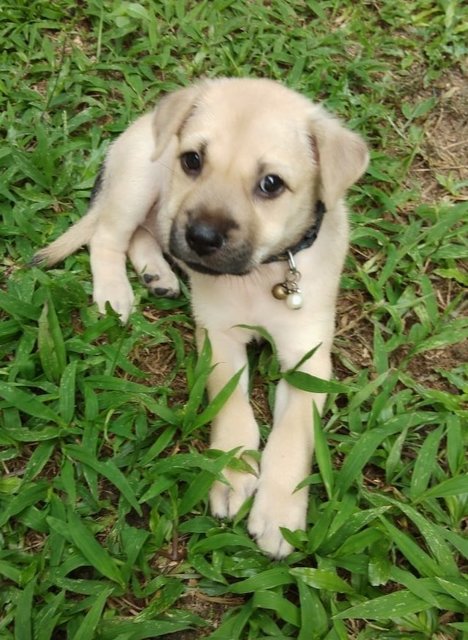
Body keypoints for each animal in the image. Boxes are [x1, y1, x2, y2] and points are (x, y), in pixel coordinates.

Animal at [34, 77, 368, 556]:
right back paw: (115, 291)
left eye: (271, 184)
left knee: (144, 233)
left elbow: (294, 432)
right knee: (108, 236)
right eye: (192, 160)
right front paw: (231, 472)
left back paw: (157, 273)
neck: (261, 274)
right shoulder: (219, 336)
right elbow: (231, 405)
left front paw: (279, 513)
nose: (201, 238)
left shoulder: (308, 360)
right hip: (140, 182)